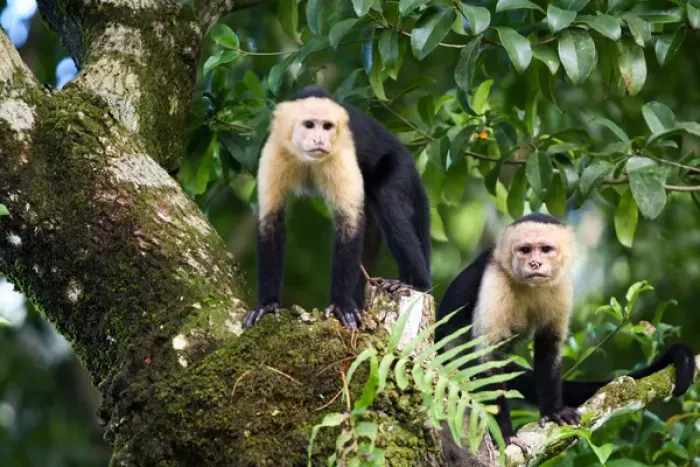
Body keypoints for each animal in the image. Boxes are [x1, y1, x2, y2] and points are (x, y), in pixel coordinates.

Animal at [243, 87, 431, 331]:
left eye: (327, 126)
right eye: (309, 125)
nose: (320, 139)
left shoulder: (341, 152)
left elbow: (349, 221)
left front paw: (341, 305)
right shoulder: (274, 150)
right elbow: (271, 221)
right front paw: (267, 304)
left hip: (400, 165)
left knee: (387, 198)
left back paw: (417, 283)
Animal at [435, 212, 696, 447]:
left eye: (546, 249)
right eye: (525, 250)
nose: (535, 263)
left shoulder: (562, 286)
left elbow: (548, 346)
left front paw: (553, 412)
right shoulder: (495, 279)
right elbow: (488, 358)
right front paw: (504, 433)